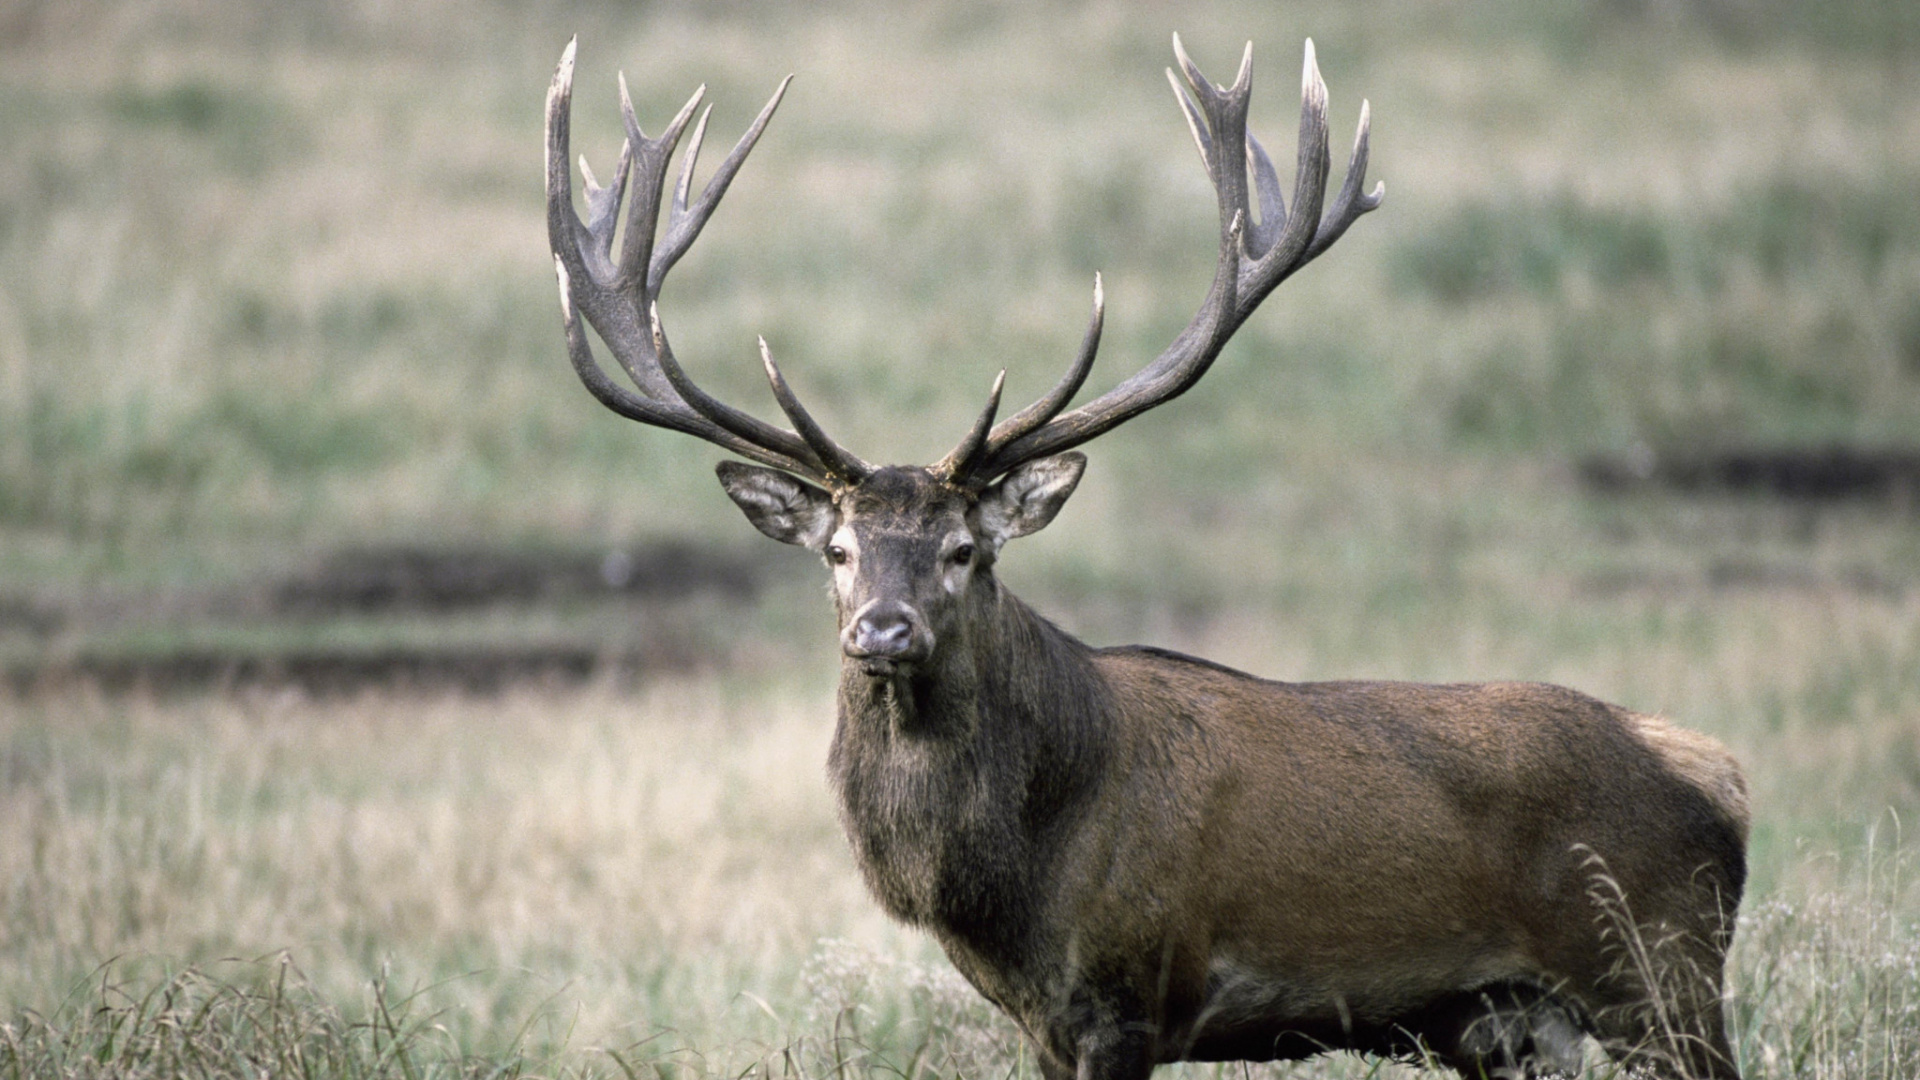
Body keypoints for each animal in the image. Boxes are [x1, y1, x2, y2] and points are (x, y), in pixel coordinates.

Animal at [545, 33, 1758, 1076]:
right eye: (837, 549)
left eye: (963, 549)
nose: (882, 630)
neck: (1016, 882)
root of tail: (1721, 774)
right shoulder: (1043, 1023)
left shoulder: (1132, 993)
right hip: (1513, 1022)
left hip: (1661, 972)